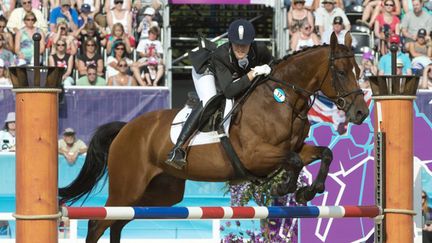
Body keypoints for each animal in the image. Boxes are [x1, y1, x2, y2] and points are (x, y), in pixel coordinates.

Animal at [59, 32, 370, 243]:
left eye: (358, 71)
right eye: (341, 72)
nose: (361, 112)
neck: (284, 100)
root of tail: (126, 128)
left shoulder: (298, 147)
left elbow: (323, 153)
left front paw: (308, 190)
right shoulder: (255, 155)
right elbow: (292, 160)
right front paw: (287, 188)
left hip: (161, 192)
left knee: (118, 222)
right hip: (127, 188)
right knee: (99, 223)